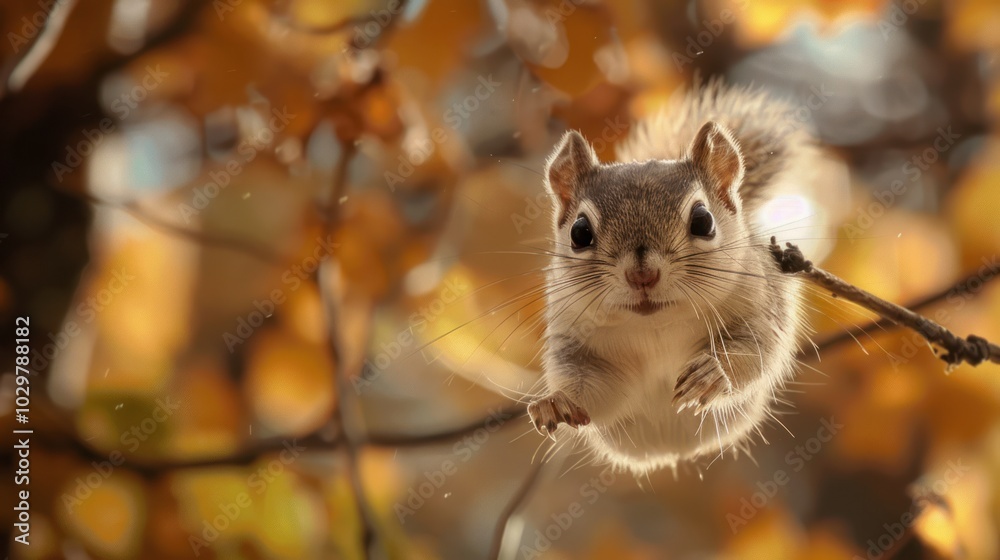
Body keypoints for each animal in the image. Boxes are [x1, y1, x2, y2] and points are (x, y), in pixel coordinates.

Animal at [528, 77, 816, 472]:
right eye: (579, 233)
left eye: (703, 221)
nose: (642, 275)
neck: (655, 325)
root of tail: (673, 453)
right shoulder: (578, 344)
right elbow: (595, 390)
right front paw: (556, 401)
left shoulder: (759, 307)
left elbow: (756, 351)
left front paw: (712, 373)